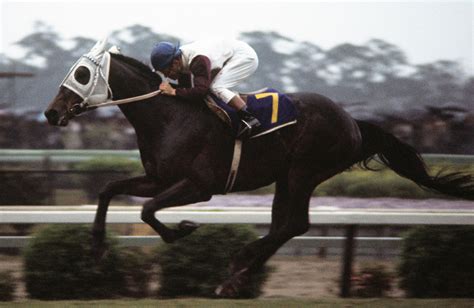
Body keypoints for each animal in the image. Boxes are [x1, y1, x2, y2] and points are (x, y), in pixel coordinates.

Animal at [44, 42, 474, 298]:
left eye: (81, 73)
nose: (50, 113)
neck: (169, 117)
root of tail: (353, 122)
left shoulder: (199, 185)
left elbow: (148, 211)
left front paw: (182, 230)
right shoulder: (158, 178)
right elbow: (109, 190)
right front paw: (97, 248)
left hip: (304, 171)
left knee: (293, 224)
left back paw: (237, 267)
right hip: (289, 176)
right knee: (287, 224)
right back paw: (238, 272)